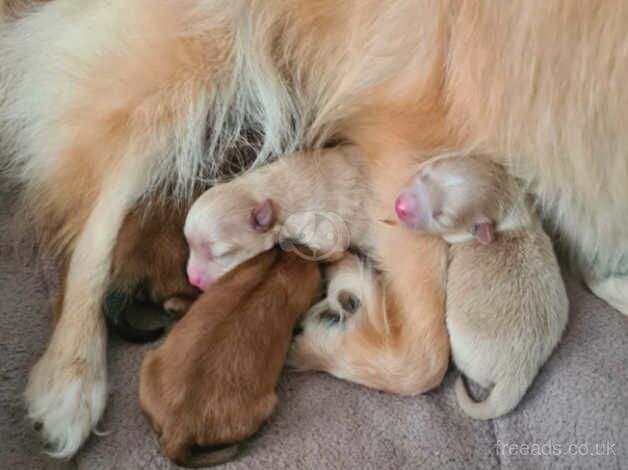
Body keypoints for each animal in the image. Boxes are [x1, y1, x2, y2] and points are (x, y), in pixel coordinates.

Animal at [184, 146, 376, 290]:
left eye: (221, 253)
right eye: (189, 245)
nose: (192, 279)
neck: (255, 193)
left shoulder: (322, 227)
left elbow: (329, 247)